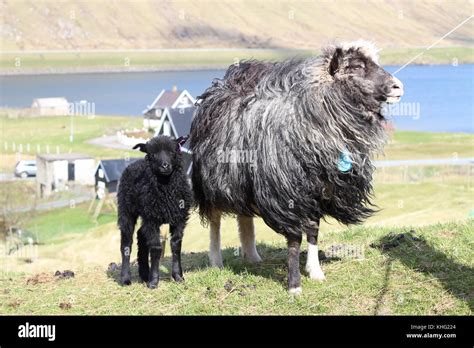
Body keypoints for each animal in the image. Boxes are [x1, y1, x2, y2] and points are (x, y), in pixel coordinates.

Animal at [117, 135, 192, 290]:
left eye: (172, 151)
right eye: (153, 154)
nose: (165, 165)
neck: (166, 190)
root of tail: (134, 163)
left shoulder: (179, 218)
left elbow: (176, 245)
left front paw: (178, 276)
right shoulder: (151, 219)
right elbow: (156, 248)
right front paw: (153, 282)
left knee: (140, 235)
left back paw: (145, 273)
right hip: (126, 211)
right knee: (126, 244)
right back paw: (126, 279)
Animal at [189, 40, 404, 294]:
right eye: (356, 66)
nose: (398, 86)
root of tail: (223, 84)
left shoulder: (319, 191)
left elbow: (313, 231)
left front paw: (315, 271)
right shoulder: (285, 194)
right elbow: (294, 239)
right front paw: (294, 285)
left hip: (243, 179)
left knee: (244, 217)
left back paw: (252, 256)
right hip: (212, 179)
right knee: (215, 220)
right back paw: (216, 261)